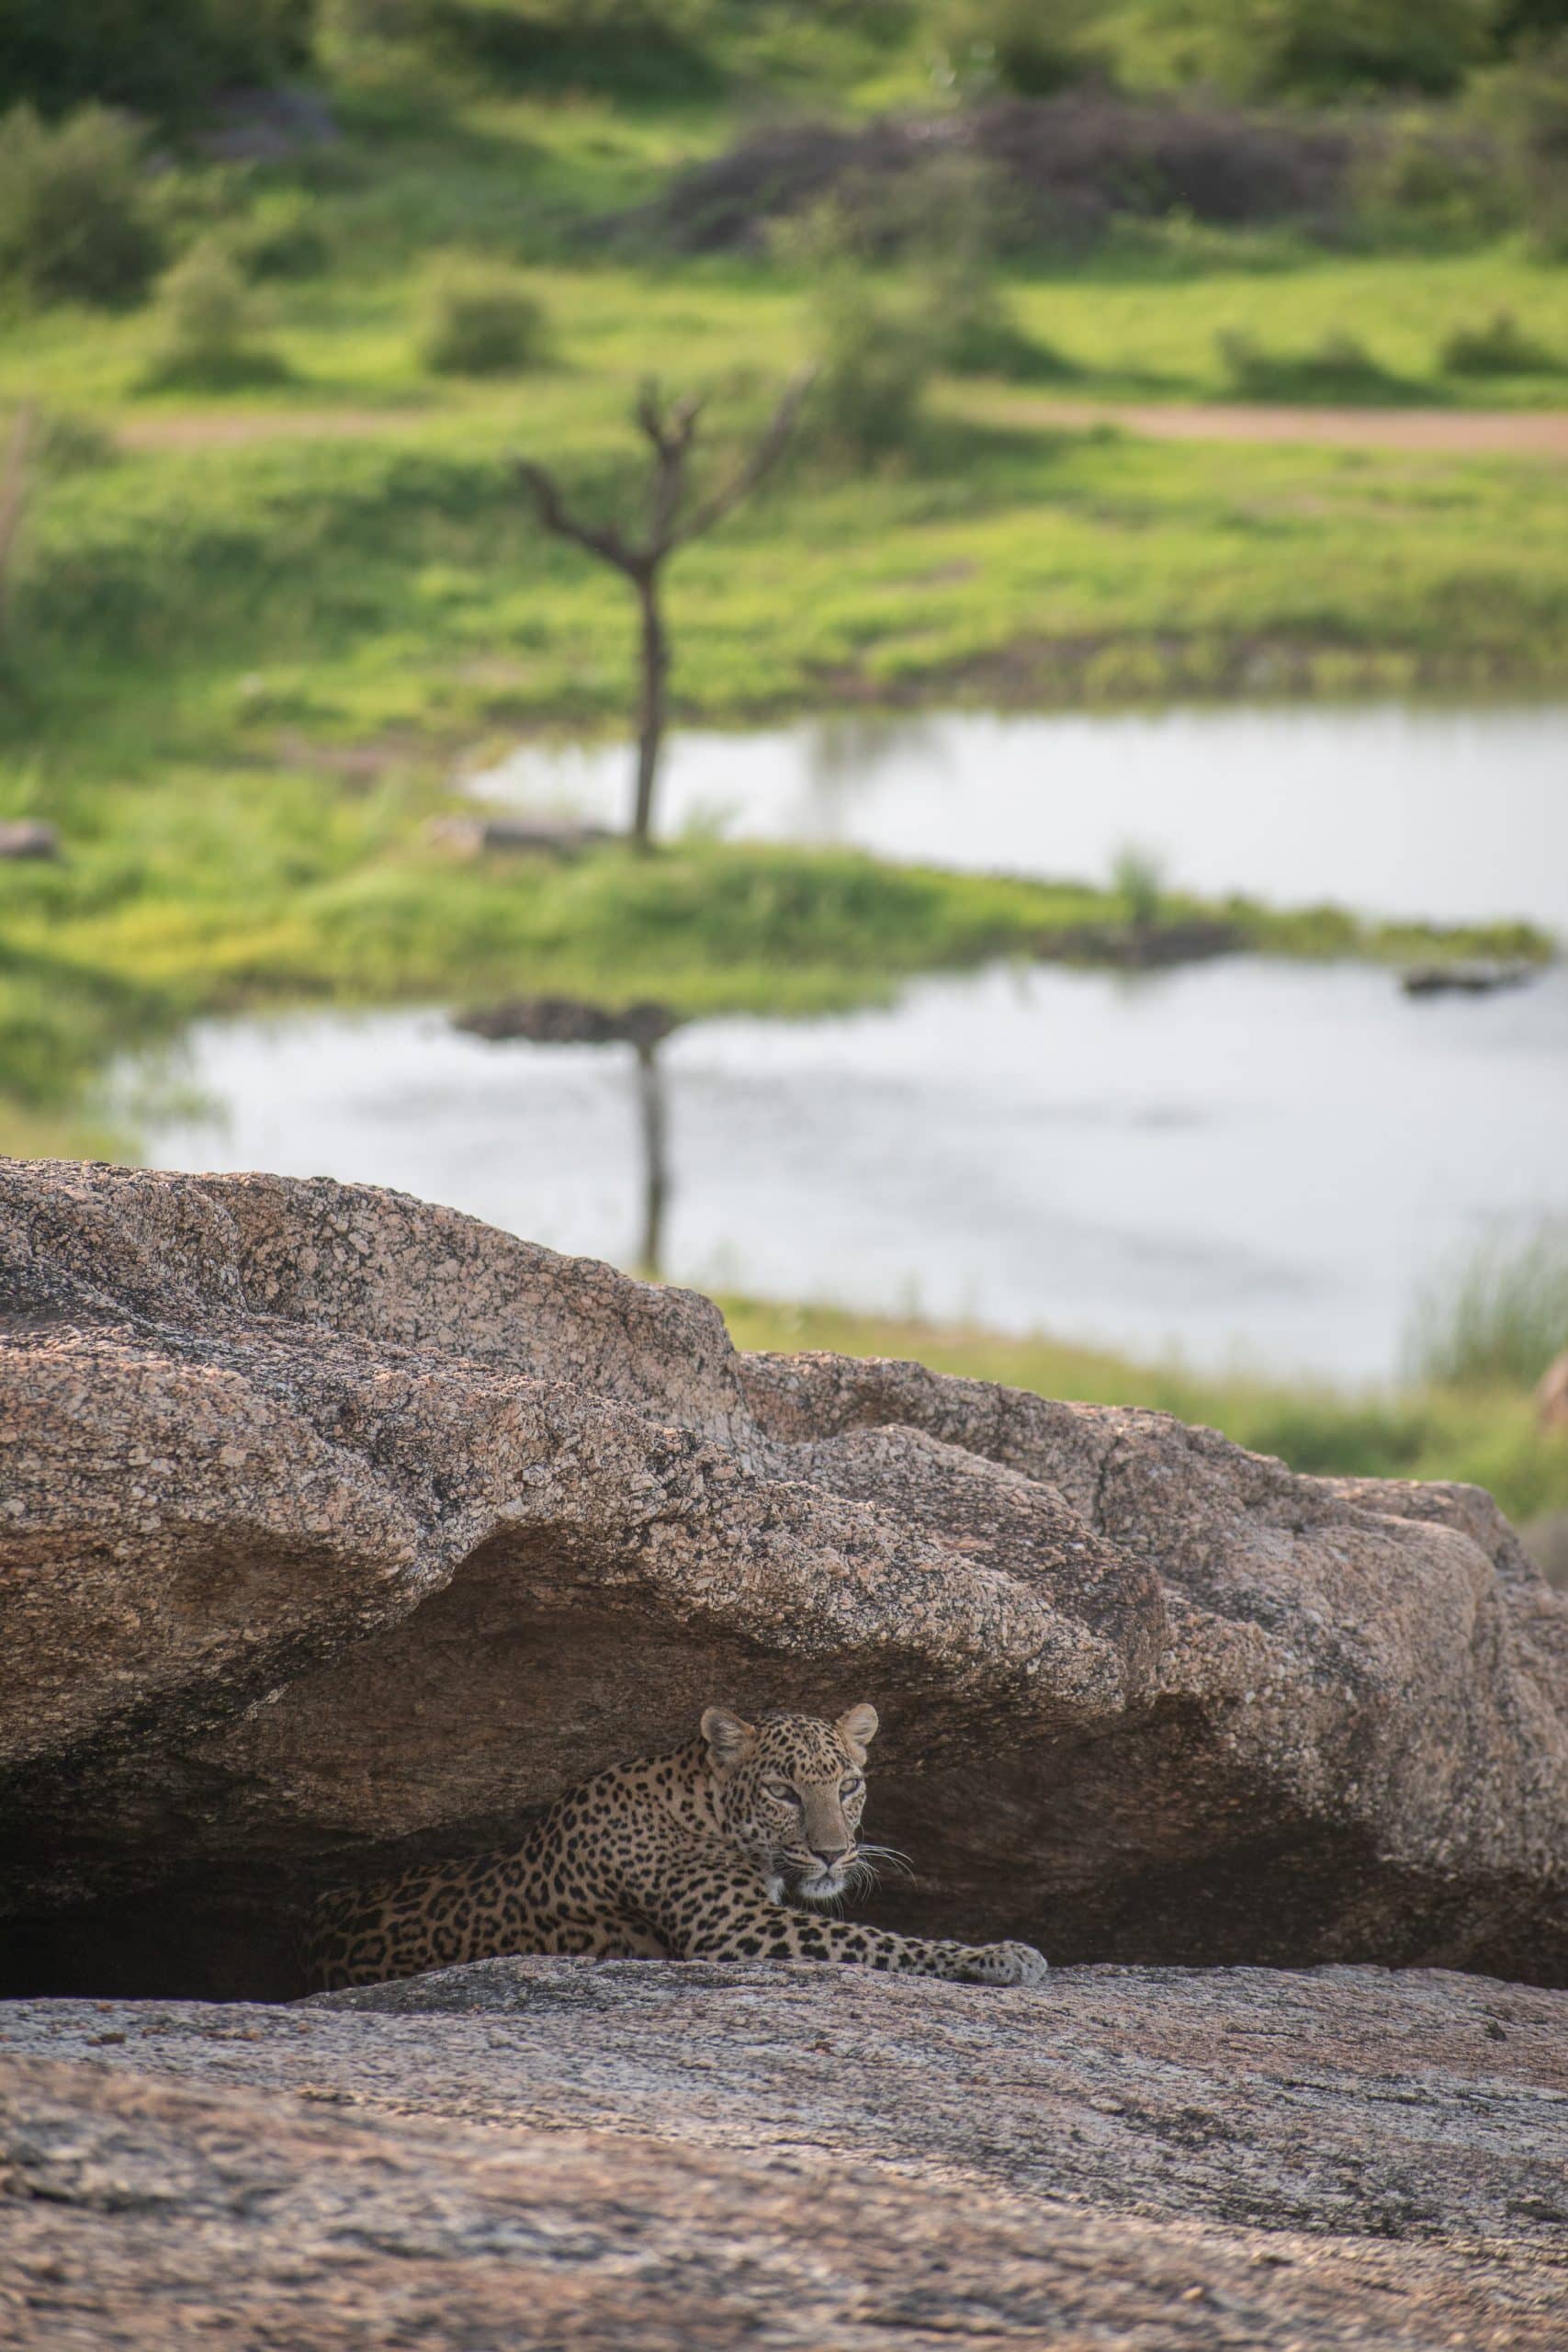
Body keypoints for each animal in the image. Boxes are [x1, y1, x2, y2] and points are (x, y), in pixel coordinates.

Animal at [305, 1702, 1048, 1994]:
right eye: (782, 1792)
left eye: (850, 1785)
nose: (834, 1854)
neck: (704, 1808)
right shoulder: (738, 1929)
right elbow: (883, 1941)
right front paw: (1001, 1954)